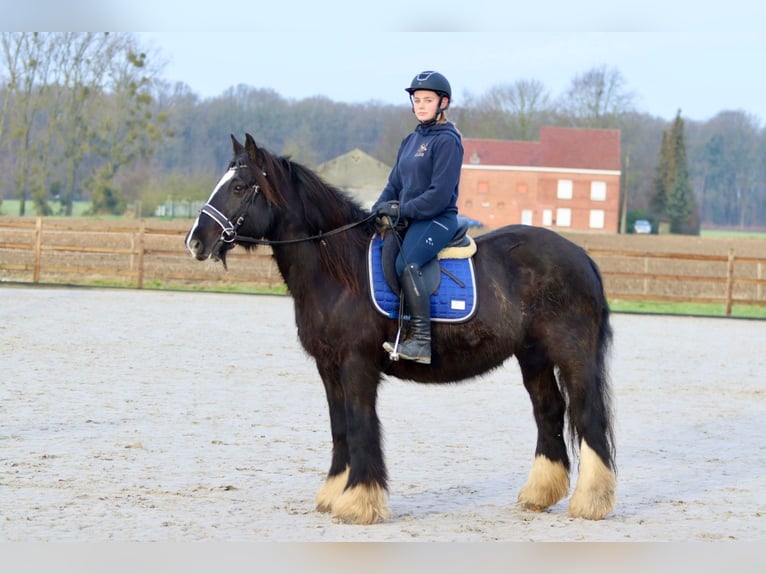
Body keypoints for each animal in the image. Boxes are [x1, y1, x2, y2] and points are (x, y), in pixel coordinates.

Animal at [184, 135, 616, 528]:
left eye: (240, 187)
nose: (195, 242)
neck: (339, 270)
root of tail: (581, 256)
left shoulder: (356, 364)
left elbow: (360, 424)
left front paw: (359, 502)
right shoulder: (328, 367)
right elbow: (339, 426)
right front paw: (334, 493)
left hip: (572, 354)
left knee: (587, 414)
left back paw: (591, 502)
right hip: (534, 357)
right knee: (549, 411)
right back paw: (539, 495)